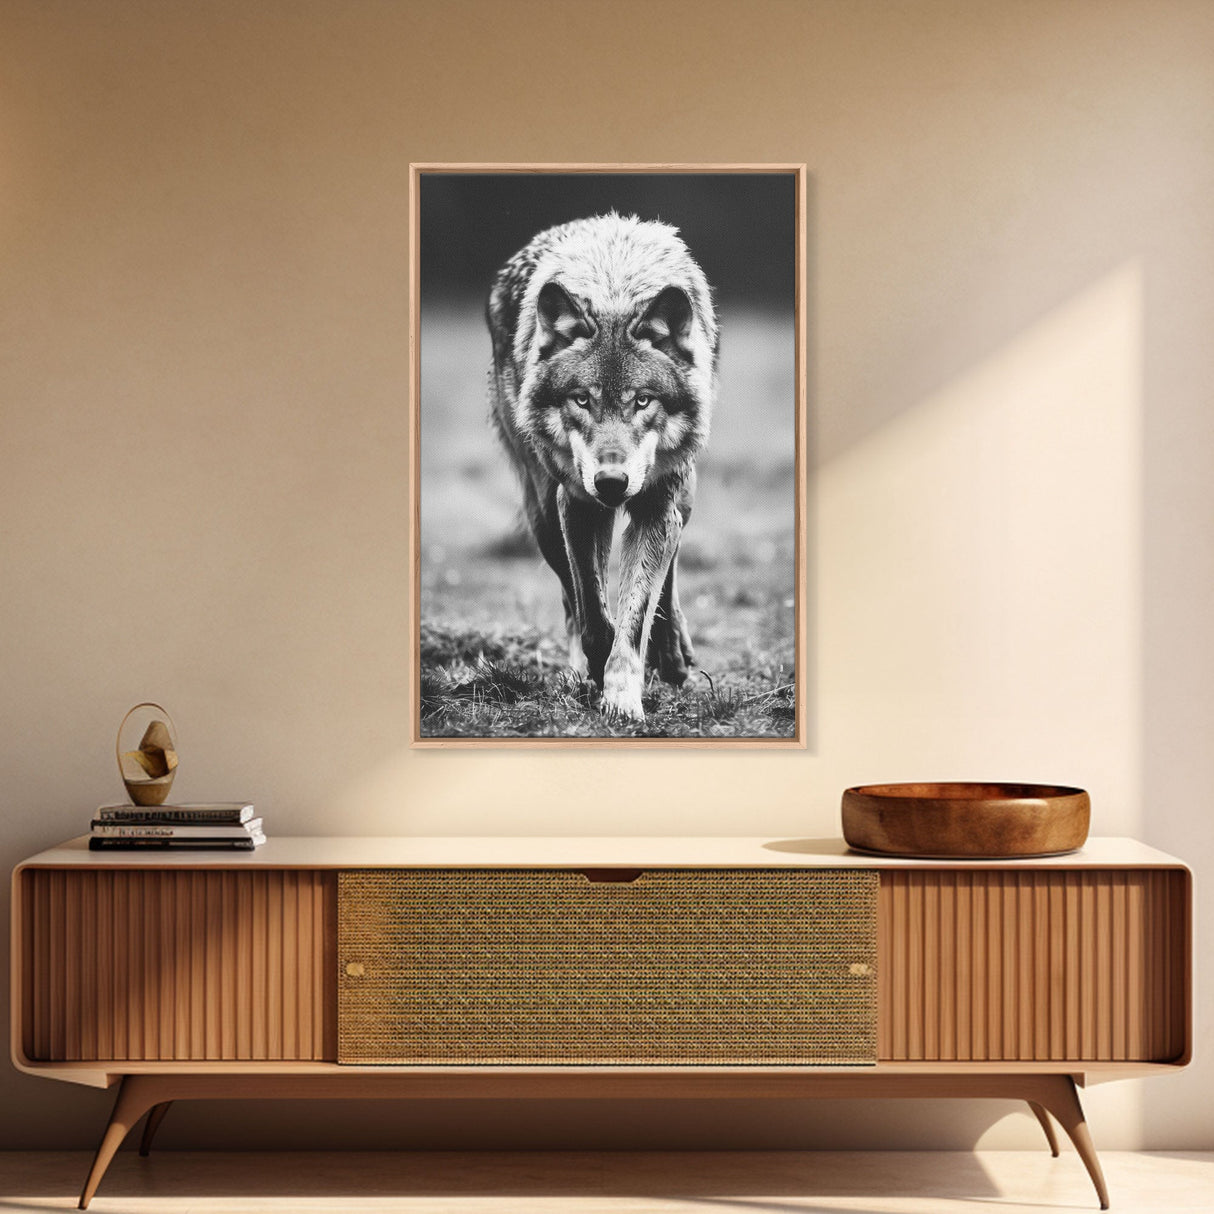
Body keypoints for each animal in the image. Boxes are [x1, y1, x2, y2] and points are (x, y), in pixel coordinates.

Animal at [487, 212, 719, 721]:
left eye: (642, 401)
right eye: (581, 400)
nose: (611, 482)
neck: (614, 287)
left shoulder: (655, 505)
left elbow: (636, 611)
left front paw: (623, 697)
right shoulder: (575, 503)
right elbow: (593, 612)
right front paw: (599, 667)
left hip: (681, 495)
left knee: (669, 571)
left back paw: (673, 654)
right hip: (542, 512)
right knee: (571, 600)